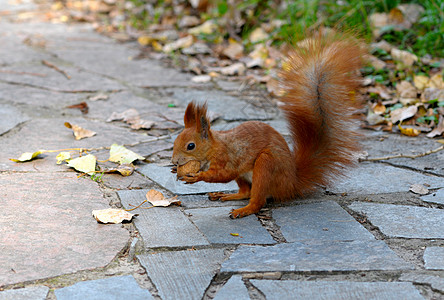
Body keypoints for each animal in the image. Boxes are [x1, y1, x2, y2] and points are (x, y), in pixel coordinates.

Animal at [170, 32, 364, 219]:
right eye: (175, 142)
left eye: (190, 146)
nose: (174, 161)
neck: (212, 148)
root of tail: (291, 184)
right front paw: (174, 170)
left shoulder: (227, 158)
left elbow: (223, 175)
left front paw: (196, 176)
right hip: (245, 176)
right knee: (245, 192)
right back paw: (226, 195)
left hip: (266, 166)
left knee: (257, 200)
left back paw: (243, 210)